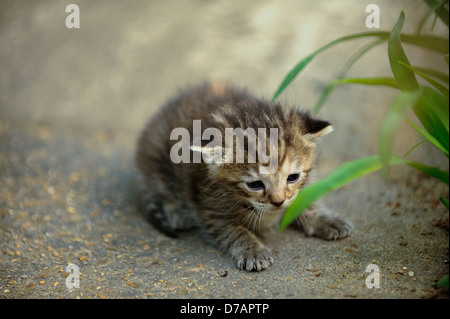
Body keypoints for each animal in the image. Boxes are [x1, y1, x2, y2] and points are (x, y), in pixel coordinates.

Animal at [135, 82, 354, 272]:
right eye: (255, 184)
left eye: (292, 177)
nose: (278, 201)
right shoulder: (209, 209)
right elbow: (234, 230)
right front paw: (253, 251)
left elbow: (304, 198)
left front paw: (325, 219)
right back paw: (175, 213)